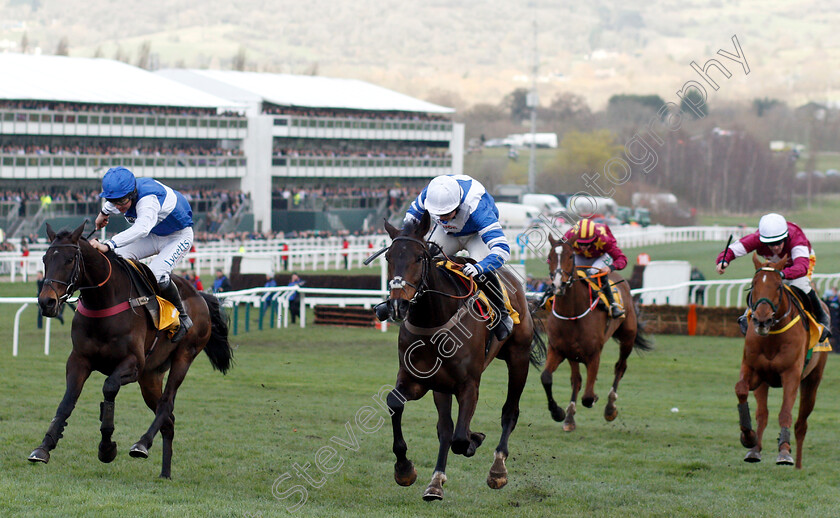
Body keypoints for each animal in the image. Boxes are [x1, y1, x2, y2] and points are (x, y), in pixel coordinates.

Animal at [28, 221, 233, 482]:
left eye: (70, 259)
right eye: (45, 258)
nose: (47, 302)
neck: (103, 301)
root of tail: (200, 296)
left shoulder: (133, 365)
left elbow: (109, 388)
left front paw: (106, 447)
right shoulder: (78, 360)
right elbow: (67, 401)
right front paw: (44, 447)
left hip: (184, 356)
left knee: (166, 404)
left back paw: (142, 444)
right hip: (151, 376)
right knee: (169, 420)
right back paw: (165, 473)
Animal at [380, 212, 544, 504]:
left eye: (419, 257)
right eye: (388, 257)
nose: (399, 305)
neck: (434, 320)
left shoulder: (469, 384)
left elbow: (459, 438)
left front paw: (473, 441)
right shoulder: (418, 380)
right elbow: (397, 404)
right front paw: (405, 469)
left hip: (519, 358)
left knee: (509, 412)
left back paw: (498, 469)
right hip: (442, 386)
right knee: (445, 428)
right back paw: (435, 482)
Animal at [540, 236, 652, 430]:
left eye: (570, 256)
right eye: (549, 257)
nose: (558, 284)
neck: (572, 314)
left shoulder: (594, 354)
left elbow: (588, 397)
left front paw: (596, 400)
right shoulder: (558, 349)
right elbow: (546, 377)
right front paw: (559, 412)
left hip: (627, 338)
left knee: (620, 367)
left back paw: (610, 407)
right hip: (572, 354)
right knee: (576, 380)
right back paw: (569, 418)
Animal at [736, 254, 828, 470]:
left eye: (778, 286)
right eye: (753, 285)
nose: (762, 320)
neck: (772, 337)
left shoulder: (791, 374)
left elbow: (785, 412)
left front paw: (784, 452)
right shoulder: (755, 372)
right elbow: (742, 390)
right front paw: (748, 438)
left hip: (812, 380)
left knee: (801, 423)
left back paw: (798, 464)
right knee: (763, 414)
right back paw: (755, 450)